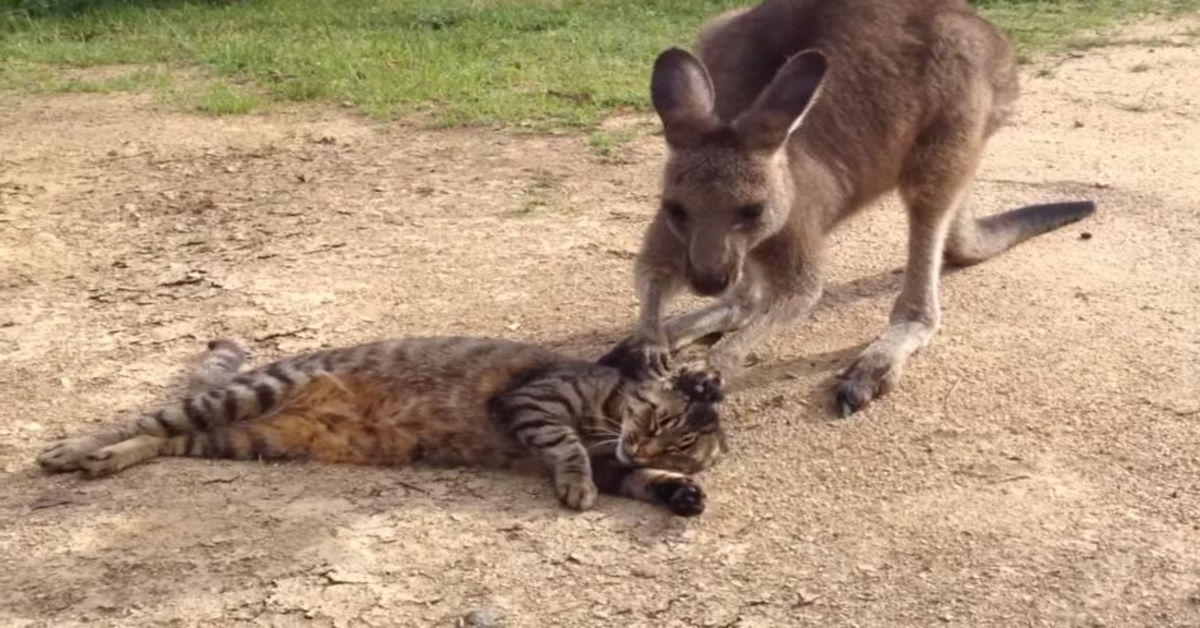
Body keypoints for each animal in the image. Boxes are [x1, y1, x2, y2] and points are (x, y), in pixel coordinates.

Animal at [37, 336, 724, 513]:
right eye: (660, 418)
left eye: (682, 447)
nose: (645, 446)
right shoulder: (532, 403)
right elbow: (569, 449)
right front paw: (576, 486)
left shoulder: (616, 462)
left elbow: (632, 480)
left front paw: (679, 493)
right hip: (248, 397)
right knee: (140, 419)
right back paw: (73, 450)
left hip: (243, 438)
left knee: (162, 439)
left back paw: (107, 460)